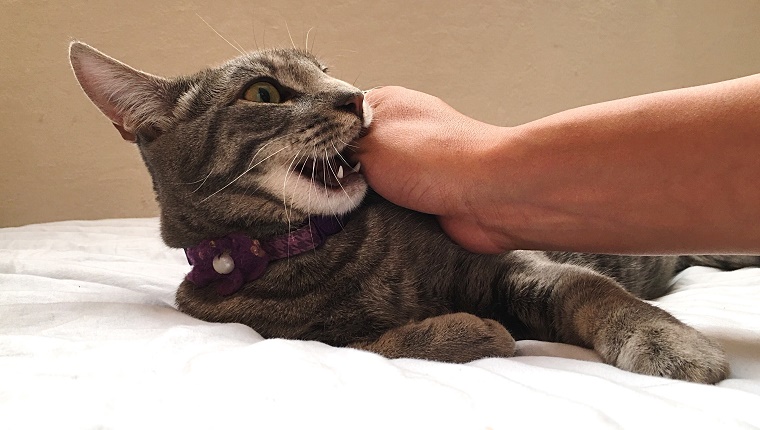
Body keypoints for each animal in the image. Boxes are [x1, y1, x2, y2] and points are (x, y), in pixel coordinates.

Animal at [68, 40, 756, 382]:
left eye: (327, 71)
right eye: (264, 93)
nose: (357, 96)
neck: (319, 253)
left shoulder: (511, 263)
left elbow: (595, 292)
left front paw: (666, 341)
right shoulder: (291, 333)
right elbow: (371, 345)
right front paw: (467, 332)